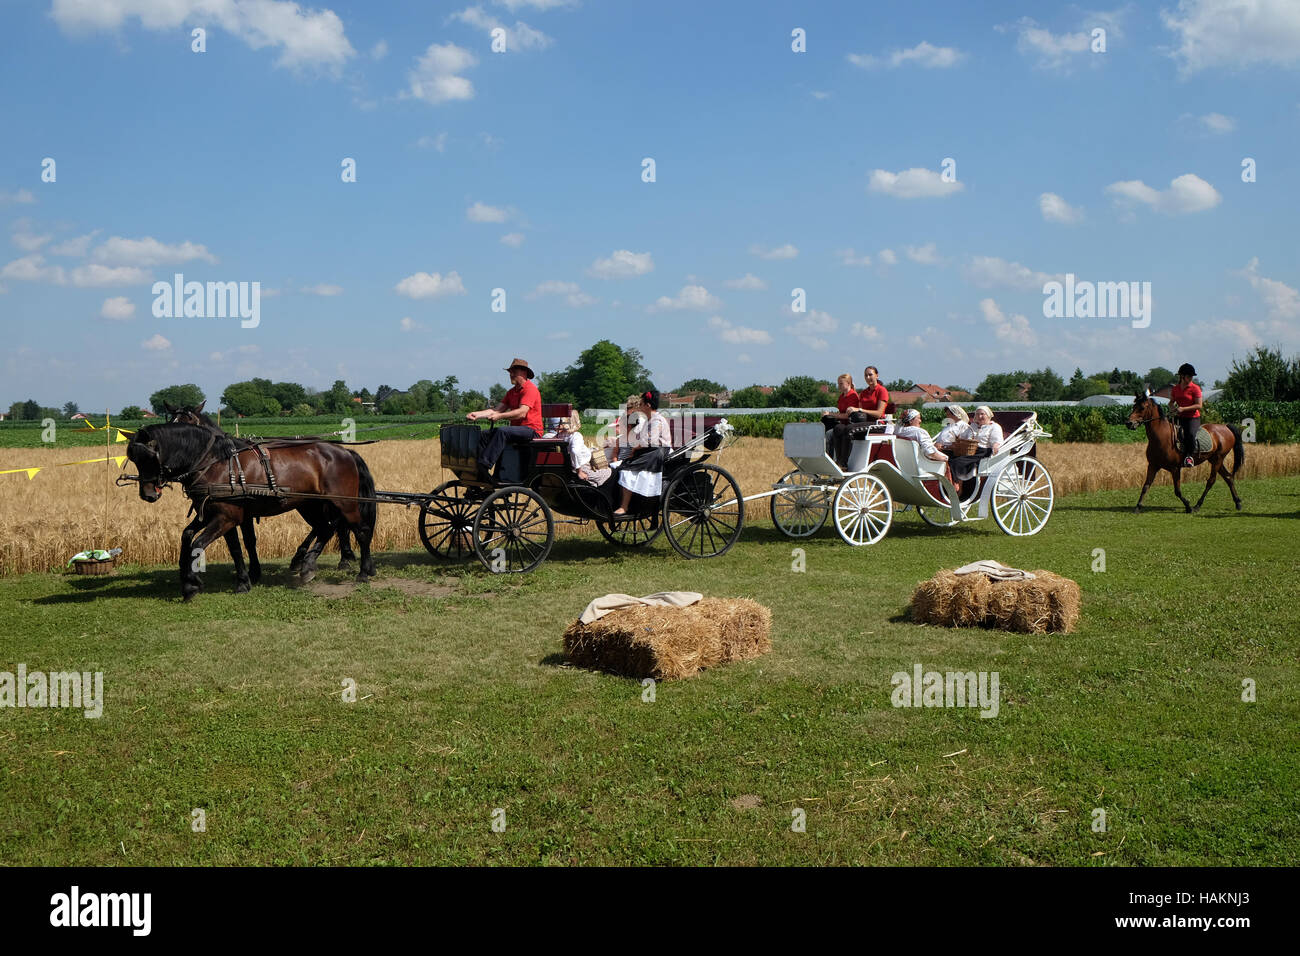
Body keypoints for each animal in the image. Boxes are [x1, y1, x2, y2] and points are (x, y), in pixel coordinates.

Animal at [126, 424, 377, 600]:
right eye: (133, 459)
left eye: (149, 457)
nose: (148, 495)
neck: (214, 463)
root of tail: (345, 451)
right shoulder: (217, 516)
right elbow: (199, 539)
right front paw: (241, 582)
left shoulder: (226, 518)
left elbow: (199, 544)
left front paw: (192, 583)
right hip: (309, 505)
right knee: (325, 529)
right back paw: (307, 567)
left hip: (345, 503)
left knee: (361, 531)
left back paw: (364, 572)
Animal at [165, 403, 364, 574]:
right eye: (170, 422)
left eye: (187, 424)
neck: (222, 460)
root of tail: (344, 450)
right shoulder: (235, 512)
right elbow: (248, 540)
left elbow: (248, 540)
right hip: (310, 504)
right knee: (327, 526)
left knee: (334, 525)